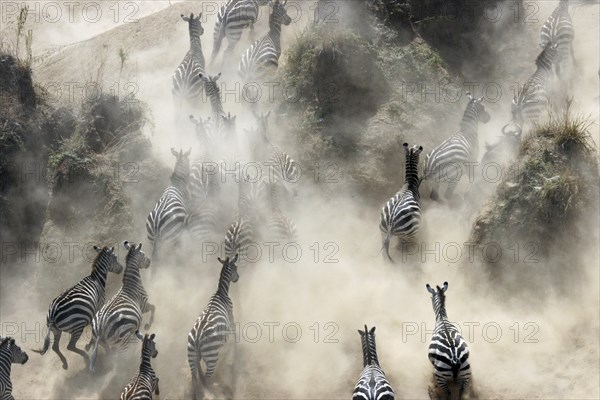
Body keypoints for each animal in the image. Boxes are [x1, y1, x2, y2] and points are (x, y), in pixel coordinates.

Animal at [88, 242, 156, 374]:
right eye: (143, 254)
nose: (150, 261)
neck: (132, 283)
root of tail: (99, 328)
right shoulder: (144, 305)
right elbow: (153, 308)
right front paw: (148, 325)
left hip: (105, 344)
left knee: (110, 354)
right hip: (122, 341)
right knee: (122, 360)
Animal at [188, 255, 239, 398]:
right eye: (235, 268)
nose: (237, 278)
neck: (220, 292)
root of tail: (197, 339)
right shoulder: (231, 316)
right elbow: (234, 330)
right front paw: (235, 347)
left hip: (192, 357)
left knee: (194, 379)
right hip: (211, 357)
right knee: (206, 379)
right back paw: (215, 391)